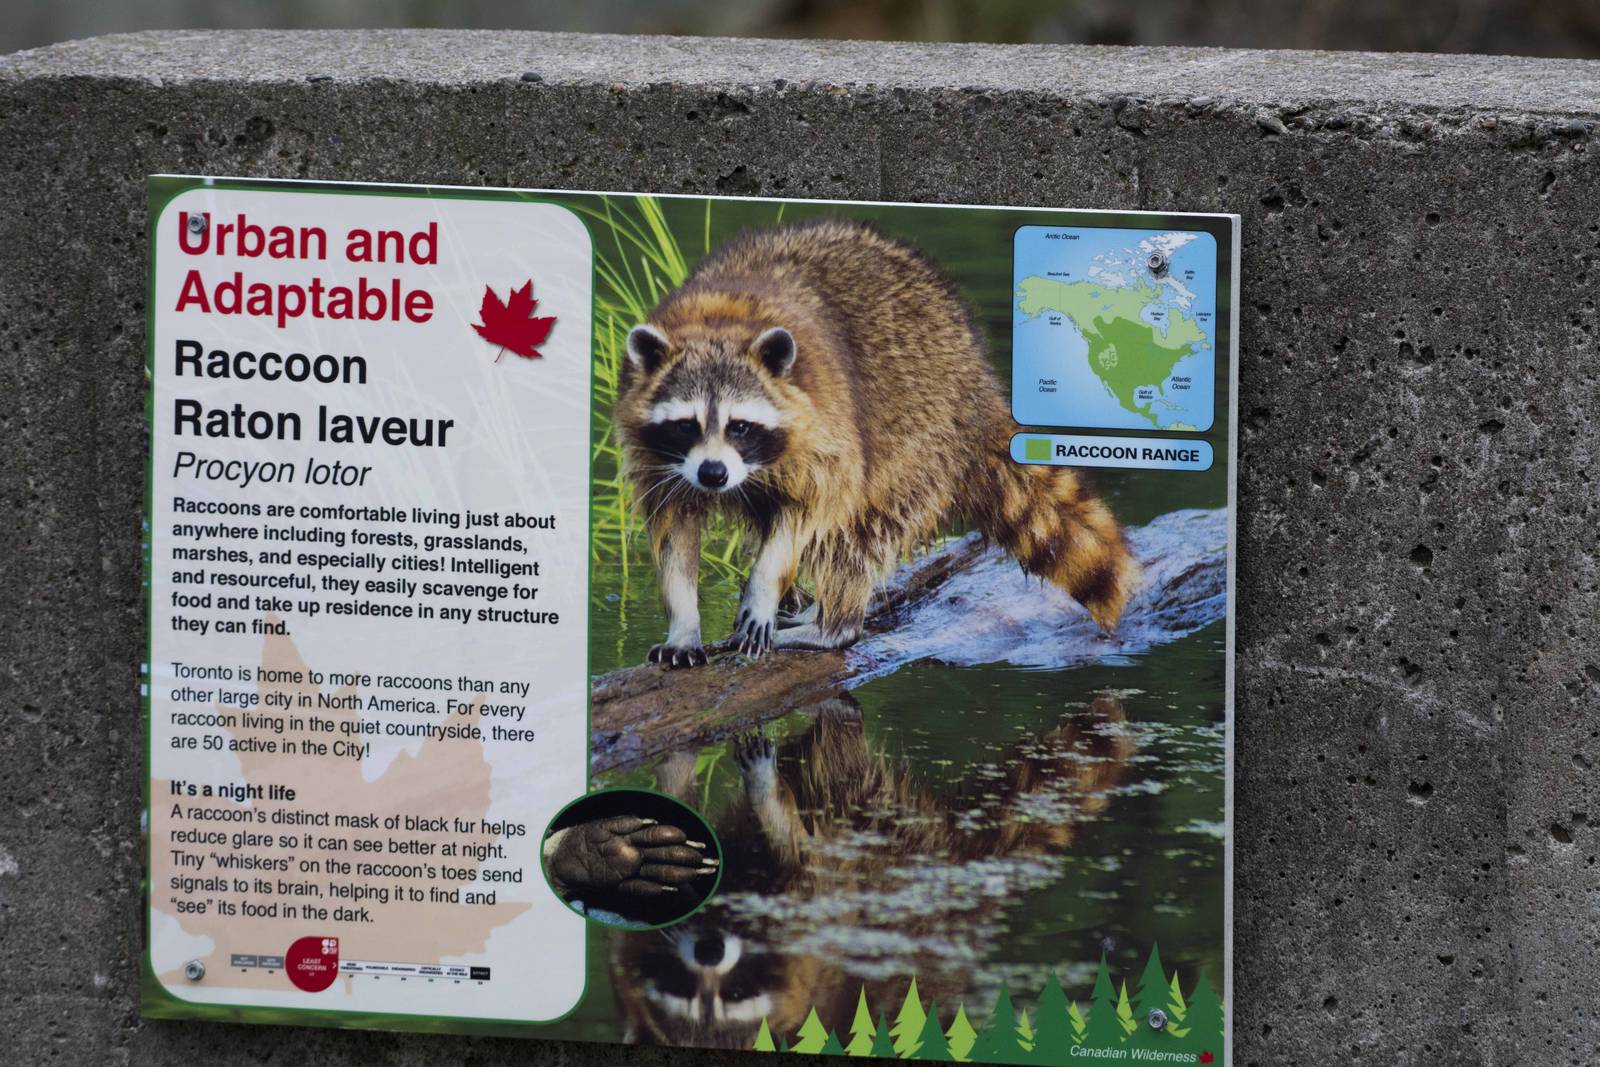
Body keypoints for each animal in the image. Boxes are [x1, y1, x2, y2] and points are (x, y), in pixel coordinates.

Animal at [609, 694, 1134, 1047]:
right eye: (681, 989)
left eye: (738, 995)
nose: (710, 950)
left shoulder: (816, 914)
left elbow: (806, 857)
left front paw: (769, 801)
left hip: (887, 837)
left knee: (837, 767)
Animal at [615, 219, 1139, 667]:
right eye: (686, 425)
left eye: (740, 426)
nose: (714, 474)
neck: (719, 321)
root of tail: (974, 376)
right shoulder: (662, 461)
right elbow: (674, 530)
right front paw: (683, 622)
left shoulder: (828, 434)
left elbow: (813, 510)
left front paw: (764, 588)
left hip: (918, 434)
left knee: (857, 531)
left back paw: (835, 623)